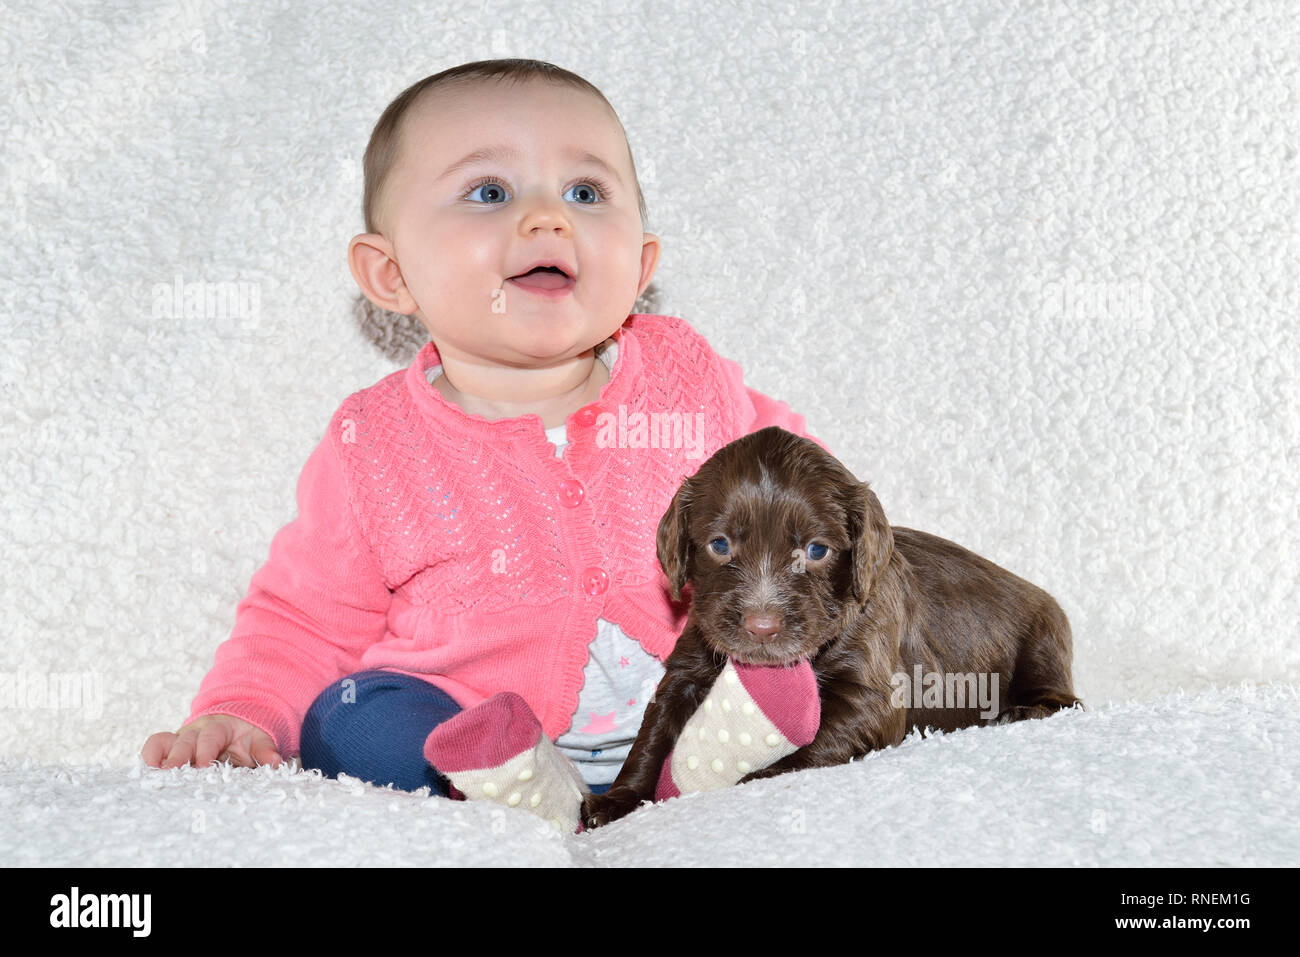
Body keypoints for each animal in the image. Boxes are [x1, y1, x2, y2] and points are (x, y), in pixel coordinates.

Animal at [585, 429, 1081, 832]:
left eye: (816, 550)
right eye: (719, 545)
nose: (761, 626)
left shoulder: (872, 692)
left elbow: (818, 742)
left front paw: (756, 777)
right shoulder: (689, 665)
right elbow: (652, 736)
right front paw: (617, 799)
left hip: (1041, 644)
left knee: (1068, 701)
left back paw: (1019, 712)